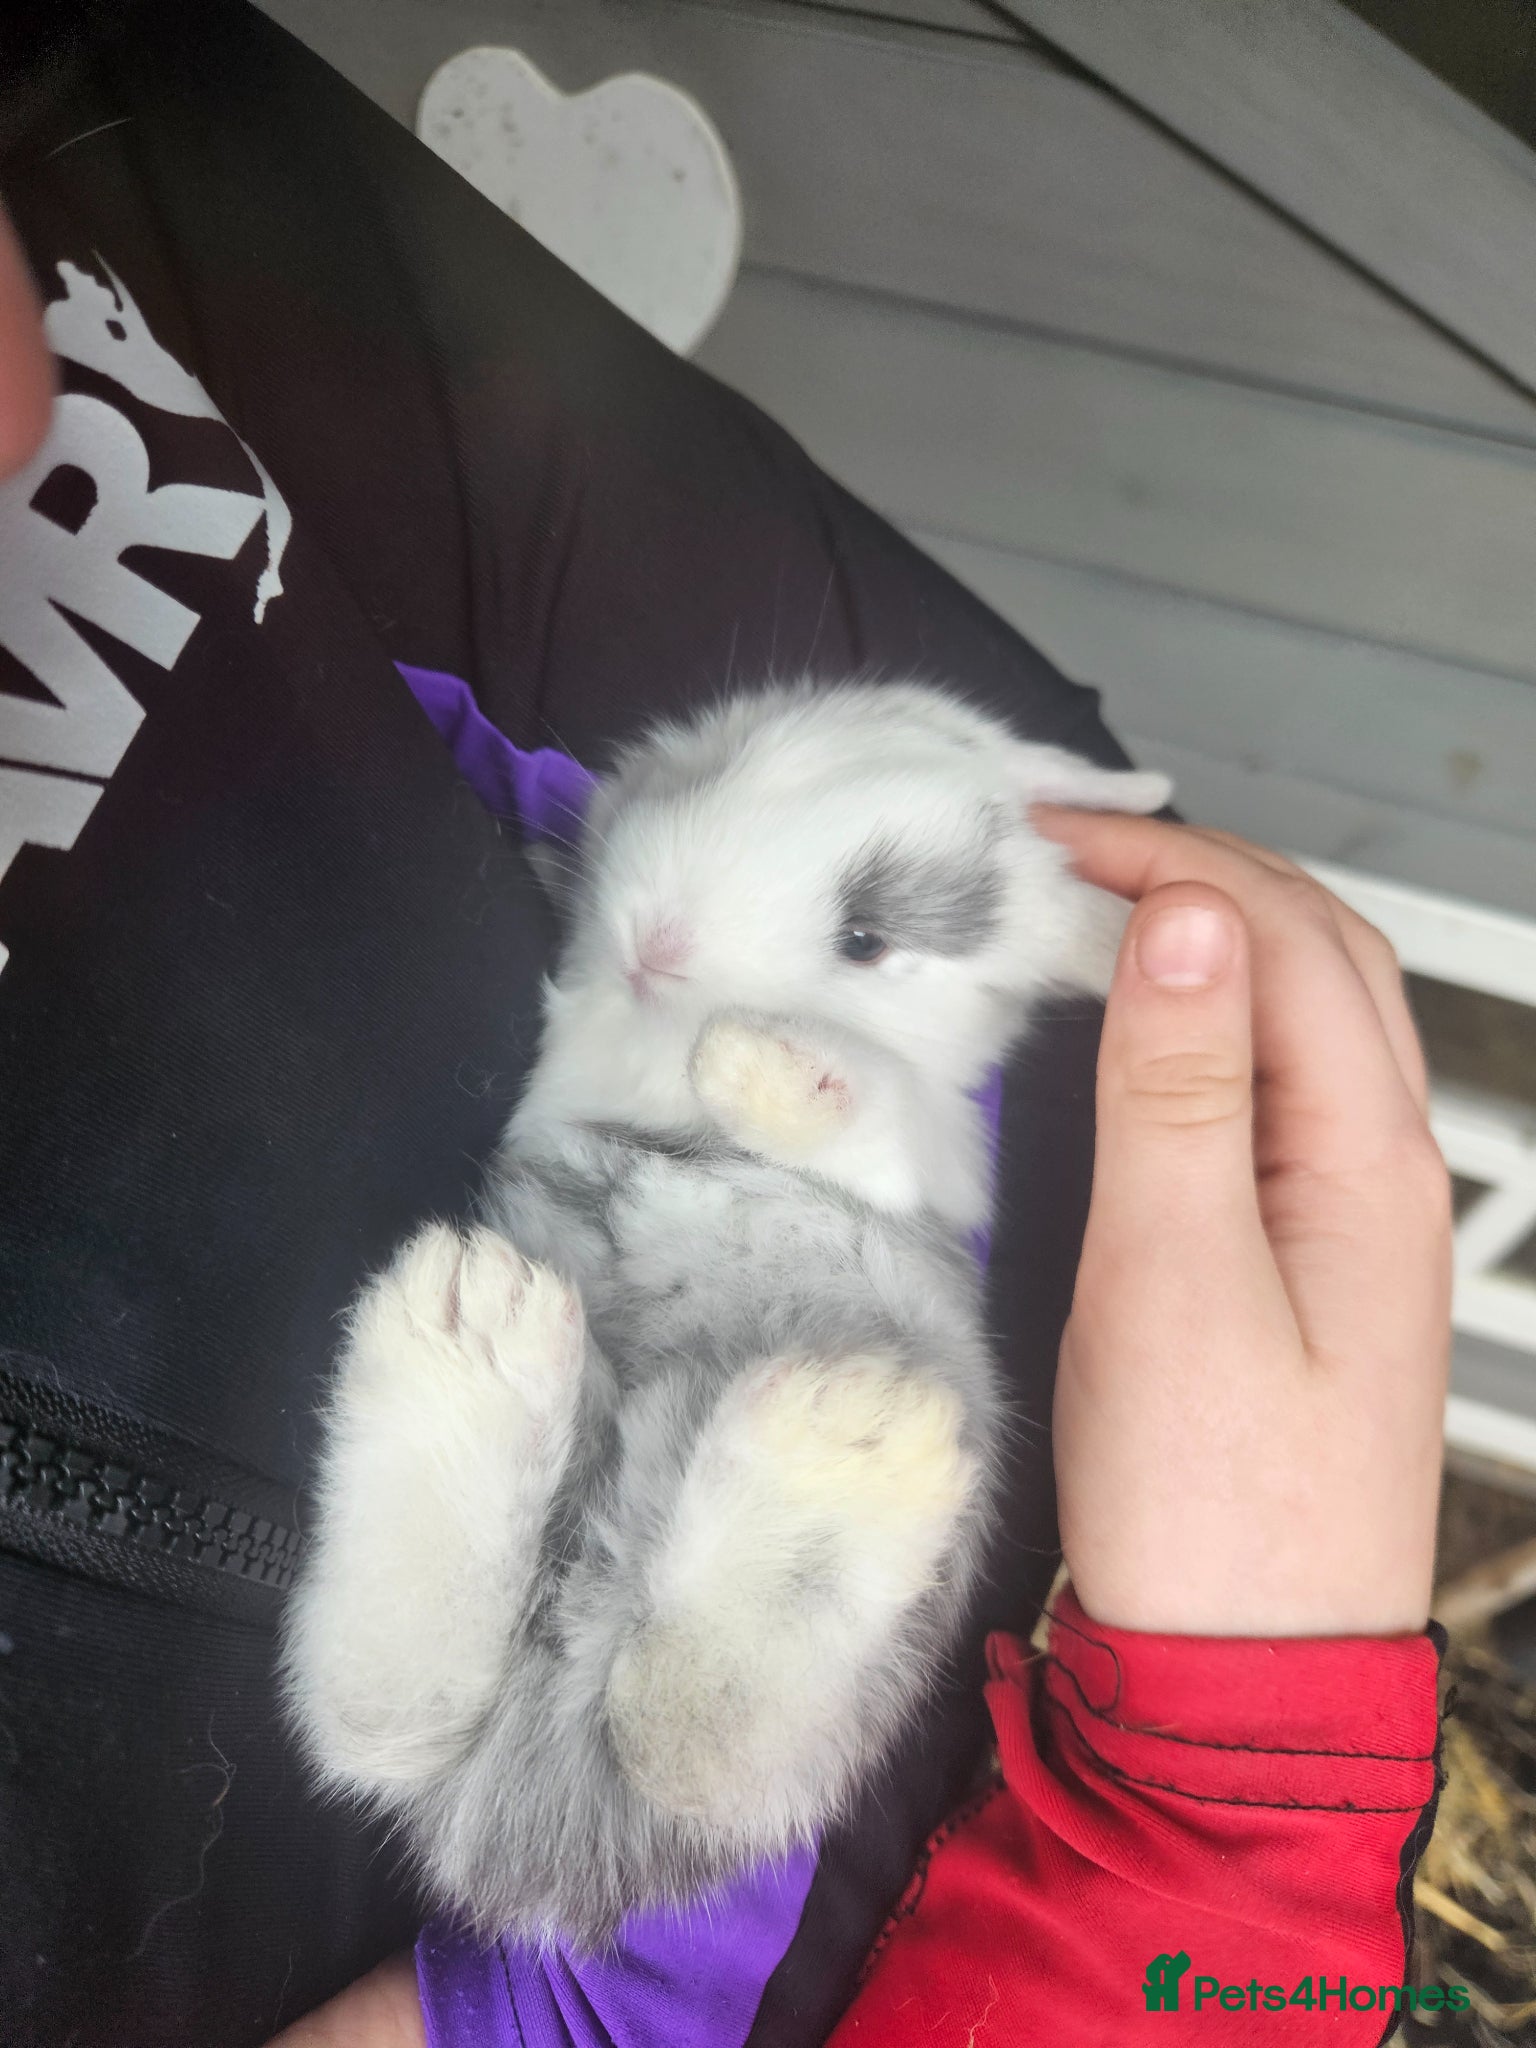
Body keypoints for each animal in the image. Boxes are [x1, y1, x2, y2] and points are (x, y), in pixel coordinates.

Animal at [280, 679, 1171, 1948]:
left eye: (866, 939)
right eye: (737, 756)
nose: (658, 939)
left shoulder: (920, 1162)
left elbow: (860, 1103)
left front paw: (747, 1059)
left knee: (678, 1737)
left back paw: (841, 1449)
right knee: (392, 1714)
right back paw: (468, 1339)